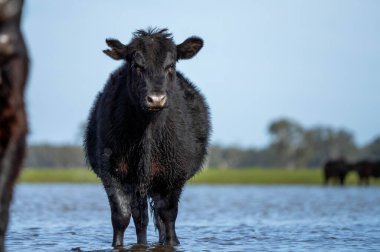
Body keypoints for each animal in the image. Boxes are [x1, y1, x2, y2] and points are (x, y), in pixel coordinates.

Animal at [83, 28, 212, 247]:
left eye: (171, 65)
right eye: (136, 65)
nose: (156, 99)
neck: (147, 135)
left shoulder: (174, 175)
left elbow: (168, 216)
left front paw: (171, 243)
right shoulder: (112, 172)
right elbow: (121, 216)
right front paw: (118, 245)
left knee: (158, 218)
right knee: (140, 218)